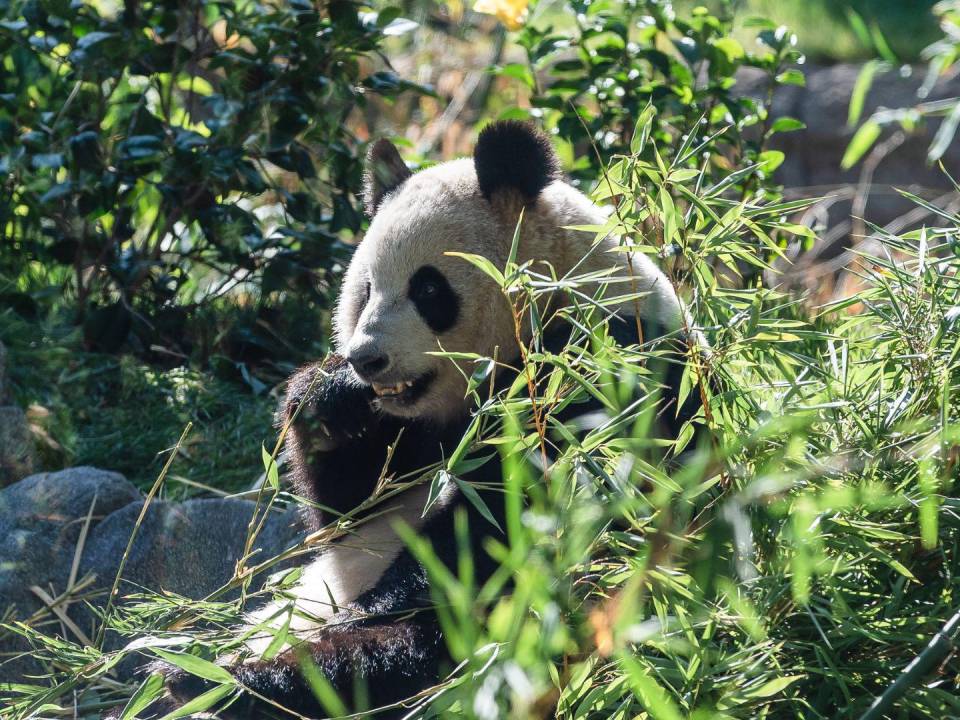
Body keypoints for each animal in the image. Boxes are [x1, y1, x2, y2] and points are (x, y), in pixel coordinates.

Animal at [154, 121, 700, 716]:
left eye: (429, 288)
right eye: (366, 288)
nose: (366, 359)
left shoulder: (602, 372)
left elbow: (501, 524)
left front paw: (365, 611)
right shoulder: (411, 432)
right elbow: (347, 514)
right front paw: (327, 399)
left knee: (404, 657)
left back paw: (227, 684)